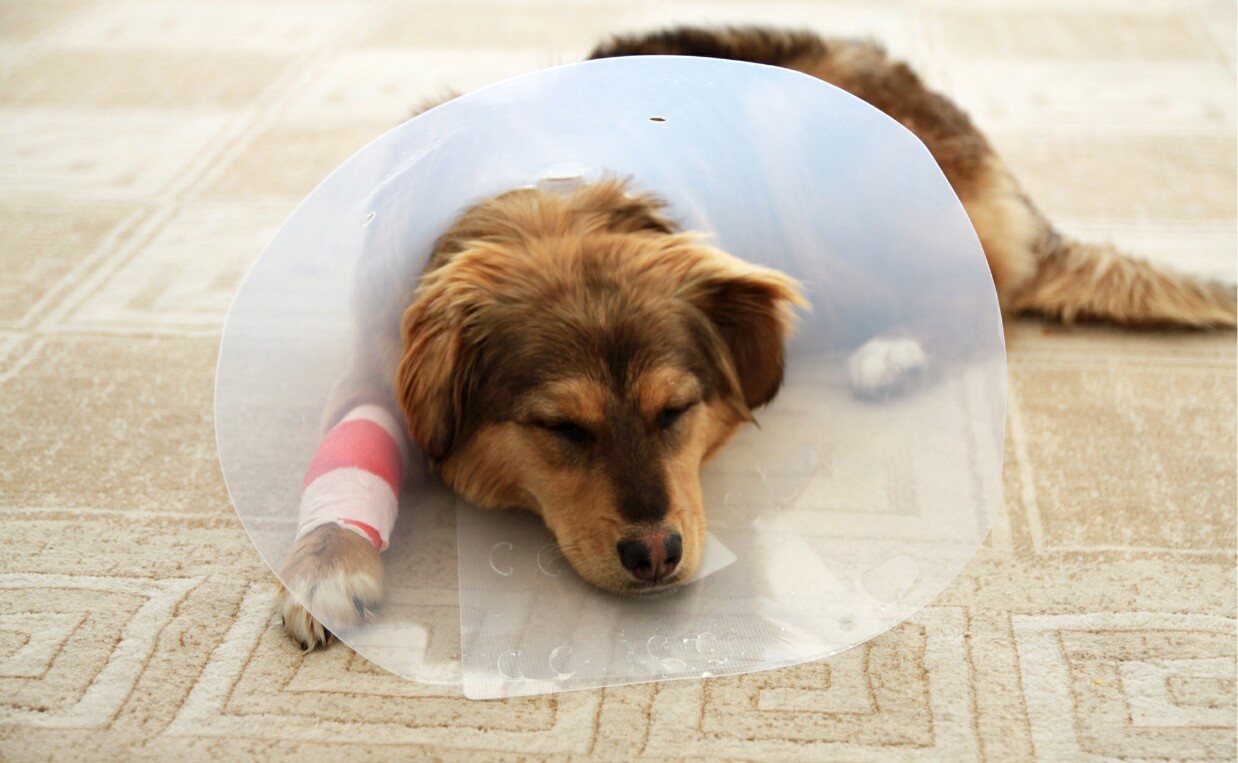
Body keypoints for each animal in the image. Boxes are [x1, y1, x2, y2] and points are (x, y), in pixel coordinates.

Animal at [276, 23, 1233, 649]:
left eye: (677, 410)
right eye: (560, 428)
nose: (656, 554)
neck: (541, 194)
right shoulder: (378, 359)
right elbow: (352, 444)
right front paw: (325, 559)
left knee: (985, 292)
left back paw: (892, 352)